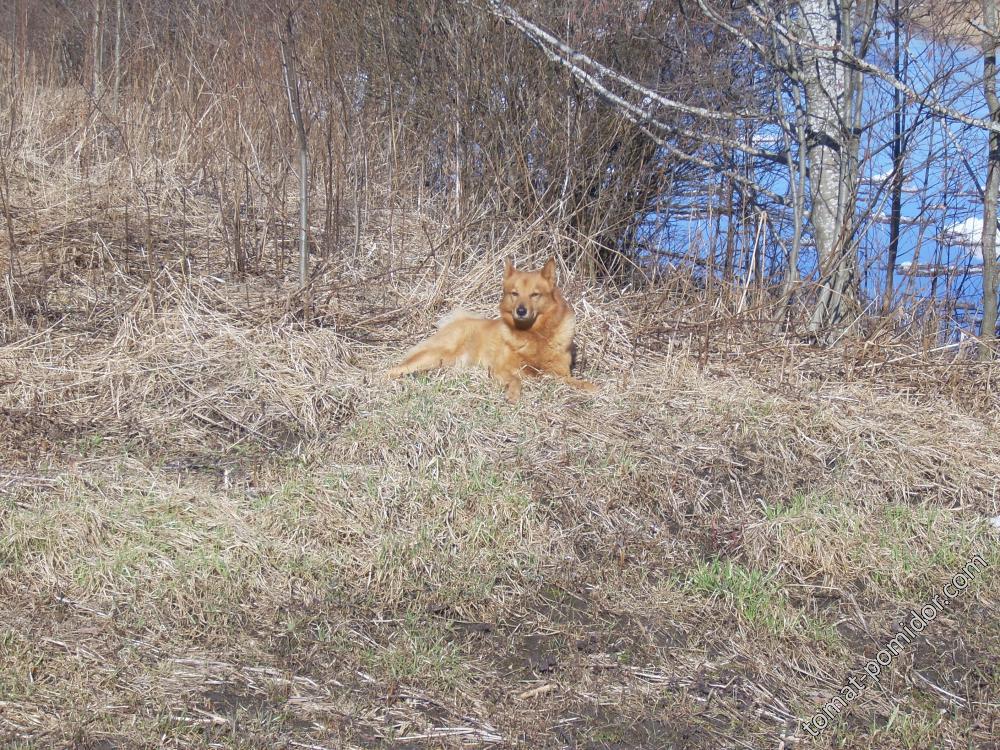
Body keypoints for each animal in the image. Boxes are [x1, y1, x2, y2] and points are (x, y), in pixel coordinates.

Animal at [388, 258, 592, 402]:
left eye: (535, 294)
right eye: (514, 293)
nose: (521, 311)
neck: (534, 335)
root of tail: (458, 321)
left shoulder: (560, 373)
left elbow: (577, 382)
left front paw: (591, 387)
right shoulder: (501, 368)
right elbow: (516, 380)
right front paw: (513, 395)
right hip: (435, 355)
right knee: (394, 369)